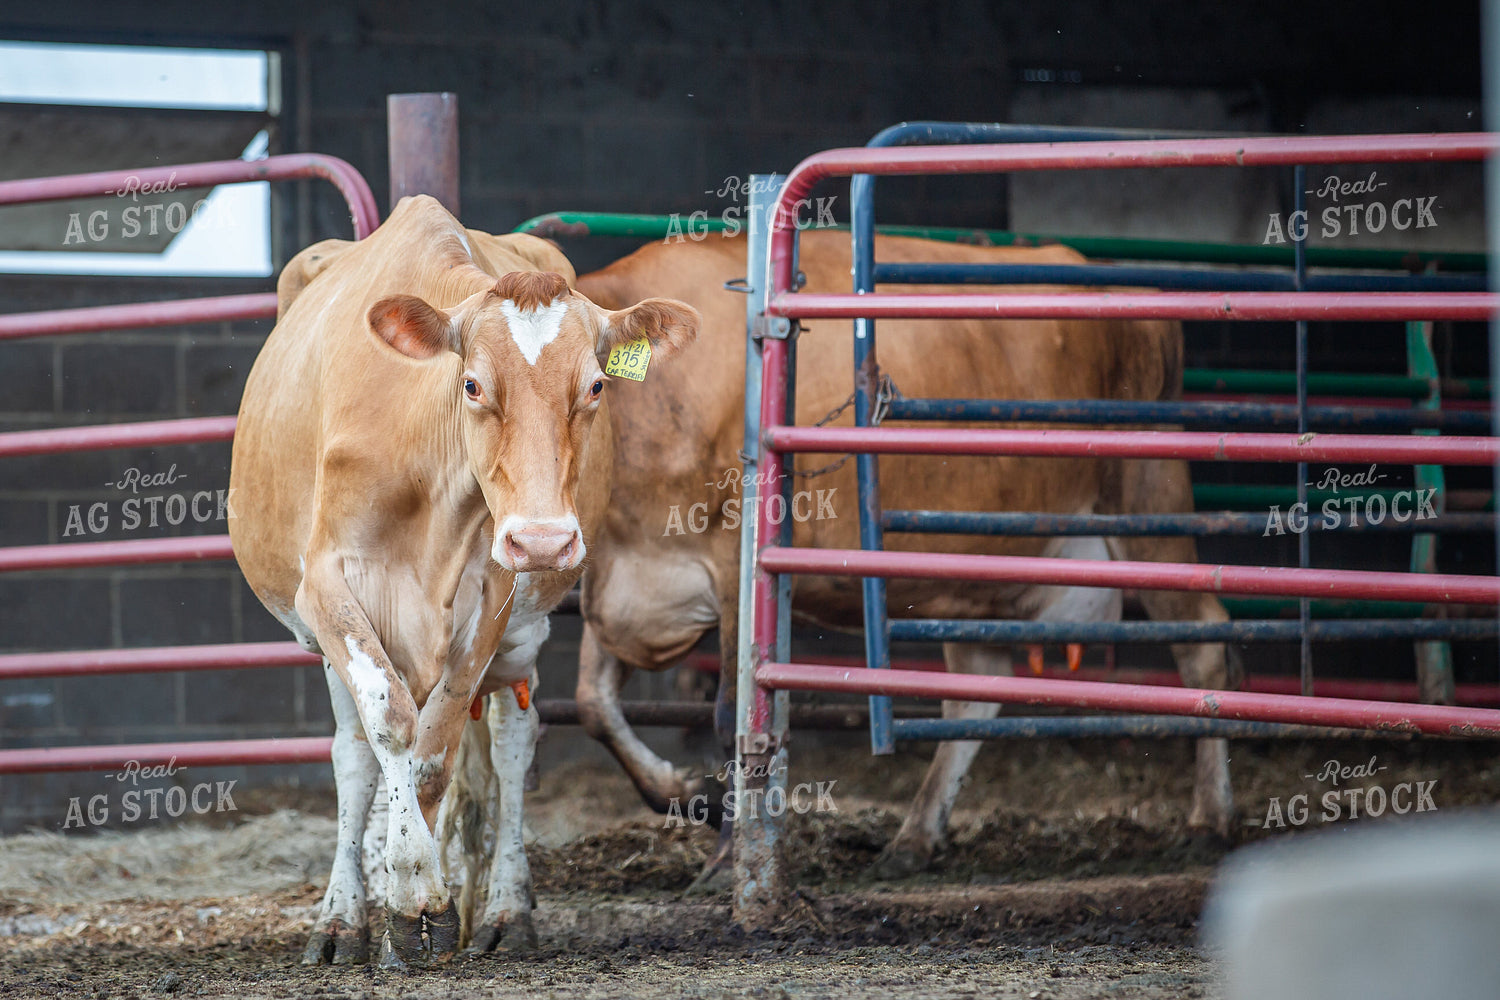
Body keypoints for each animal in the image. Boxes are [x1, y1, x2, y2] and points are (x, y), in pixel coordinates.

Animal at [228, 195, 698, 965]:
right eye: (473, 384)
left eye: (597, 385)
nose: (543, 538)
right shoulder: (323, 587)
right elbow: (389, 724)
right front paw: (404, 892)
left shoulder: (496, 596)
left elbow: (433, 753)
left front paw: (419, 902)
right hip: (329, 637)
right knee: (353, 755)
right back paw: (342, 918)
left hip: (523, 631)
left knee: (511, 739)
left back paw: (504, 910)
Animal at [563, 229, 1240, 887]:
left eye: (589, 380)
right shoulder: (613, 578)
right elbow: (593, 704)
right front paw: (688, 794)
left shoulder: (736, 567)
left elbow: (732, 710)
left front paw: (728, 857)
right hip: (975, 573)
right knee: (975, 691)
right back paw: (915, 836)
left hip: (1147, 504)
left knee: (1204, 643)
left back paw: (1210, 819)